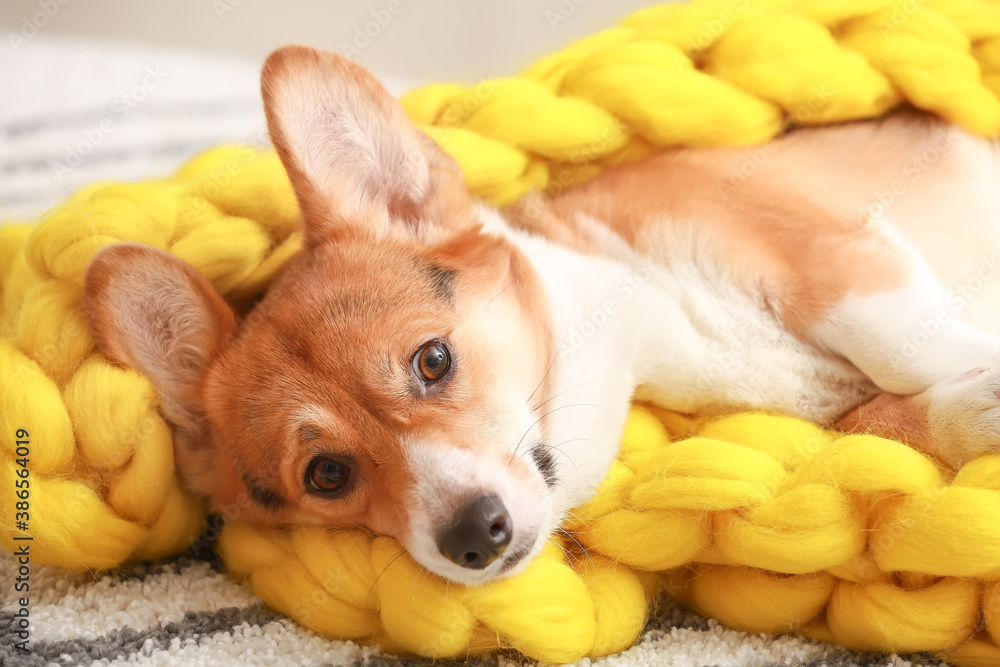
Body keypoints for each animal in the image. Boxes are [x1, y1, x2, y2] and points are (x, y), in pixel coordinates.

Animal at [84, 44, 1000, 584]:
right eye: (327, 474)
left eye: (433, 361)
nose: (476, 535)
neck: (657, 320)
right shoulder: (827, 394)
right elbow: (890, 416)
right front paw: (975, 410)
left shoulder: (823, 249)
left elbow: (902, 347)